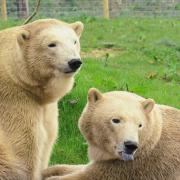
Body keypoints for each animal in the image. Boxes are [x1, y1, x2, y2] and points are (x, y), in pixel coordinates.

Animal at [0, 19, 83, 179]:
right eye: (52, 44)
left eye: (74, 41)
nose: (74, 62)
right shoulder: (15, 100)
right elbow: (24, 150)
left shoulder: (46, 107)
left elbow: (48, 138)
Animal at [41, 88, 180, 179]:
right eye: (116, 120)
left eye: (140, 125)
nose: (131, 145)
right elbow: (78, 167)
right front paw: (48, 170)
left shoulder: (133, 167)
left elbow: (88, 175)